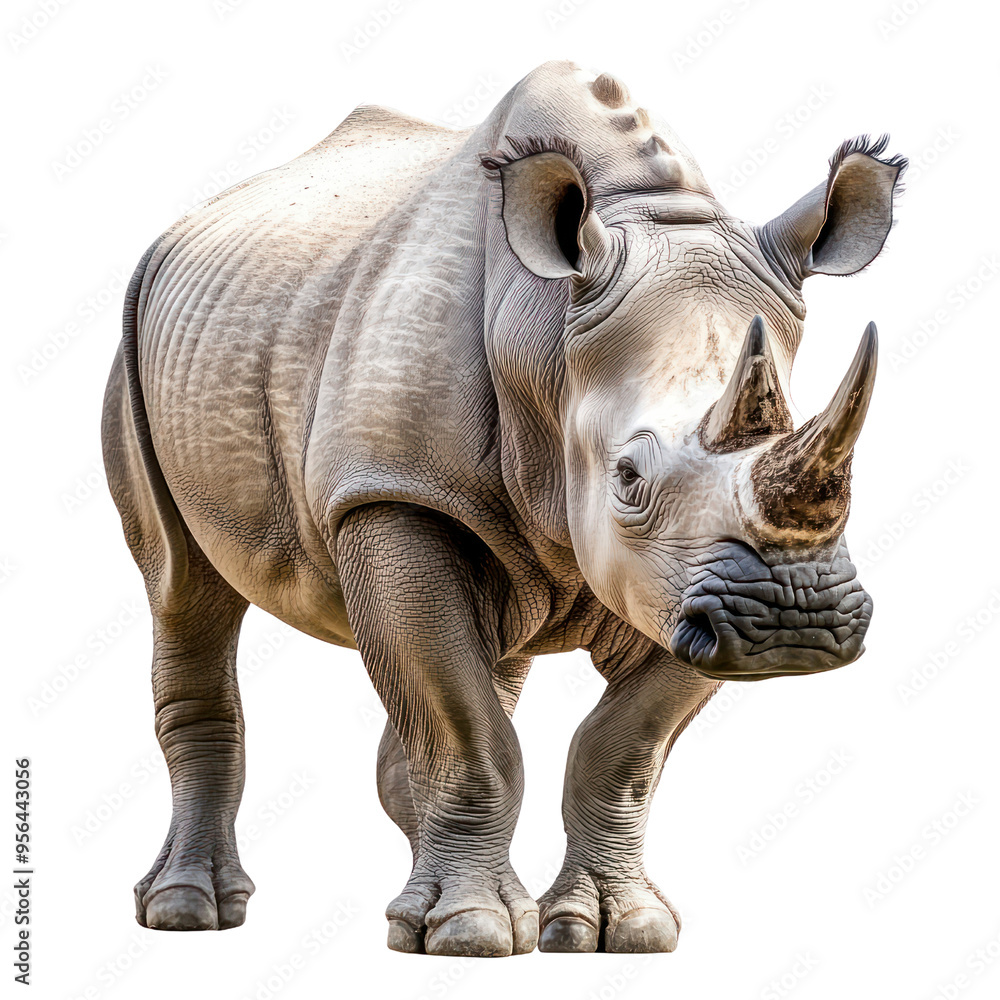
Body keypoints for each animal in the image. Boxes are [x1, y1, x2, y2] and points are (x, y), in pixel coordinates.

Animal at [101, 60, 904, 956]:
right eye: (628, 477)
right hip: (134, 341)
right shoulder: (393, 493)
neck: (550, 334)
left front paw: (616, 928)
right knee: (183, 589)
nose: (796, 620)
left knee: (495, 648)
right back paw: (189, 911)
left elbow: (620, 751)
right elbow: (469, 731)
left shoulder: (690, 584)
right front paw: (470, 930)